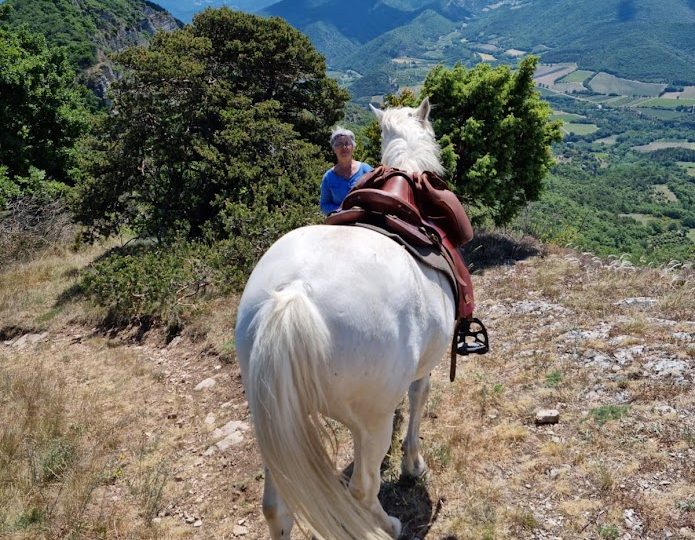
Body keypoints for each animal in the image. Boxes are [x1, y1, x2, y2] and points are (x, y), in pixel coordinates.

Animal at [237, 98, 456, 540]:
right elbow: (419, 397)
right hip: (370, 420)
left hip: (273, 414)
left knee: (275, 507)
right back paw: (388, 524)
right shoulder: (423, 367)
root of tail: (293, 295)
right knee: (362, 490)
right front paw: (413, 464)